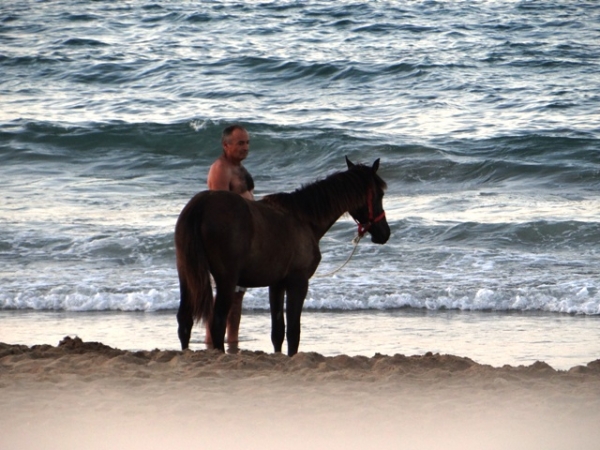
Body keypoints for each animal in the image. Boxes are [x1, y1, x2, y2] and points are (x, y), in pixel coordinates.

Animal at [173, 157, 392, 356]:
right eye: (380, 194)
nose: (385, 233)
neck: (304, 219)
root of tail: (201, 204)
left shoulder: (276, 284)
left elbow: (277, 331)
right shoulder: (298, 282)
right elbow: (294, 332)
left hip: (187, 277)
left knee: (185, 321)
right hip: (226, 281)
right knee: (217, 324)